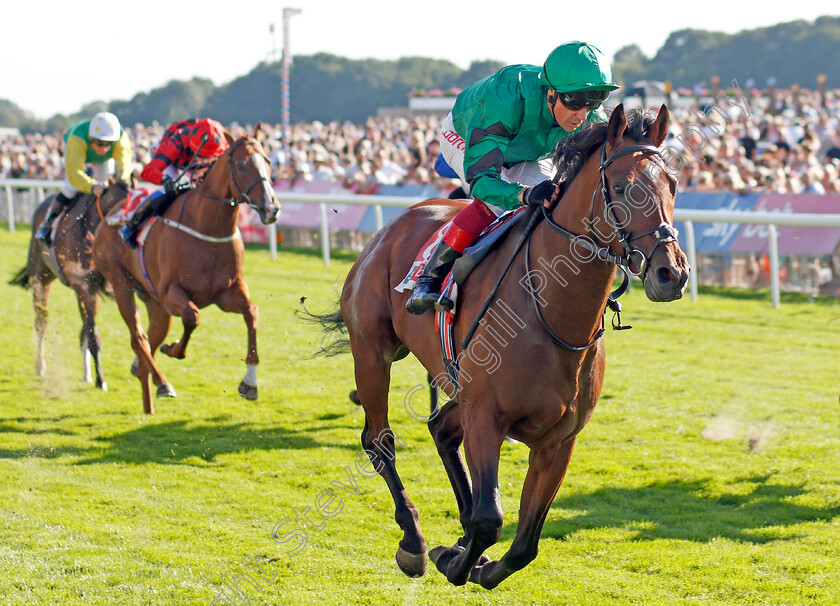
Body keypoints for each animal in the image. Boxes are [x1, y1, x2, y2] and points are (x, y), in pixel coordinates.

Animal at [9, 185, 130, 392]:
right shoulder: (84, 287)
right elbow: (93, 335)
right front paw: (101, 380)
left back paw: (86, 375)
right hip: (40, 278)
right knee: (41, 323)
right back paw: (40, 366)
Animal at [93, 126, 280, 416]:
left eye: (268, 161)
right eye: (241, 164)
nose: (271, 208)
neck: (207, 226)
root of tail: (108, 215)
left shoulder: (228, 292)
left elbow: (251, 312)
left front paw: (249, 382)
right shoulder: (172, 294)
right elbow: (193, 317)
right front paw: (174, 350)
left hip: (154, 301)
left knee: (149, 340)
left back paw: (146, 387)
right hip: (121, 282)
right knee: (138, 337)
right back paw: (162, 382)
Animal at [316, 104, 688, 588]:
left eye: (673, 185)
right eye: (623, 187)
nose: (671, 273)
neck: (551, 312)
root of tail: (390, 227)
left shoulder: (558, 440)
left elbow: (525, 542)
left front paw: (475, 562)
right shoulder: (486, 416)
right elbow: (490, 519)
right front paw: (453, 560)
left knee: (440, 428)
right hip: (373, 353)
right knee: (379, 441)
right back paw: (413, 542)